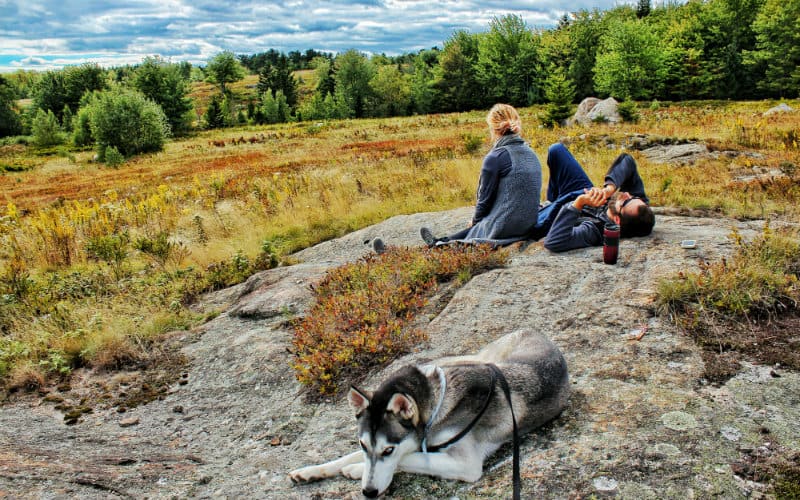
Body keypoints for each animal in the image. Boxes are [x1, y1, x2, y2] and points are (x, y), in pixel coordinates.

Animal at [288, 330, 568, 498]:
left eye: (388, 450)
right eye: (363, 443)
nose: (368, 492)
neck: (436, 406)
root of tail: (534, 331)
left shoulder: (466, 465)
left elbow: (408, 458)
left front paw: (356, 470)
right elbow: (349, 455)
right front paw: (312, 471)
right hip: (476, 359)